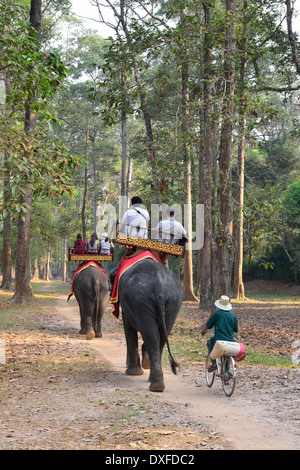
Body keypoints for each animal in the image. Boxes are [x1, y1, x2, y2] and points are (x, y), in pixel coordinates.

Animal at [109, 258, 182, 392]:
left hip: (140, 301)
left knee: (151, 336)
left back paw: (155, 385)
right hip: (172, 302)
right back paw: (157, 384)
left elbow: (128, 326)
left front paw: (132, 373)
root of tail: (159, 286)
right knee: (160, 337)